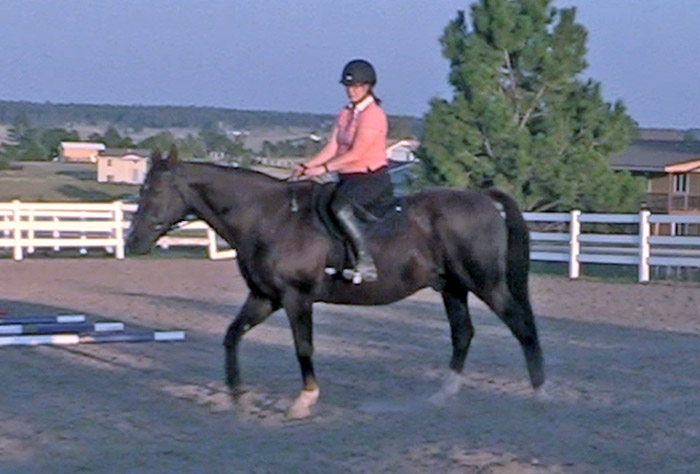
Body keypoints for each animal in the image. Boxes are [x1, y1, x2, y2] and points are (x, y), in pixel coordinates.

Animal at [126, 147, 544, 418]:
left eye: (155, 191)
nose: (132, 242)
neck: (269, 218)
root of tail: (483, 199)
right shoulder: (264, 297)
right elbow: (232, 336)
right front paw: (238, 397)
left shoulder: (295, 298)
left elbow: (304, 347)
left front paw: (304, 401)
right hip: (452, 287)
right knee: (463, 334)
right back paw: (442, 396)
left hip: (486, 283)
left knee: (521, 326)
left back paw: (539, 393)